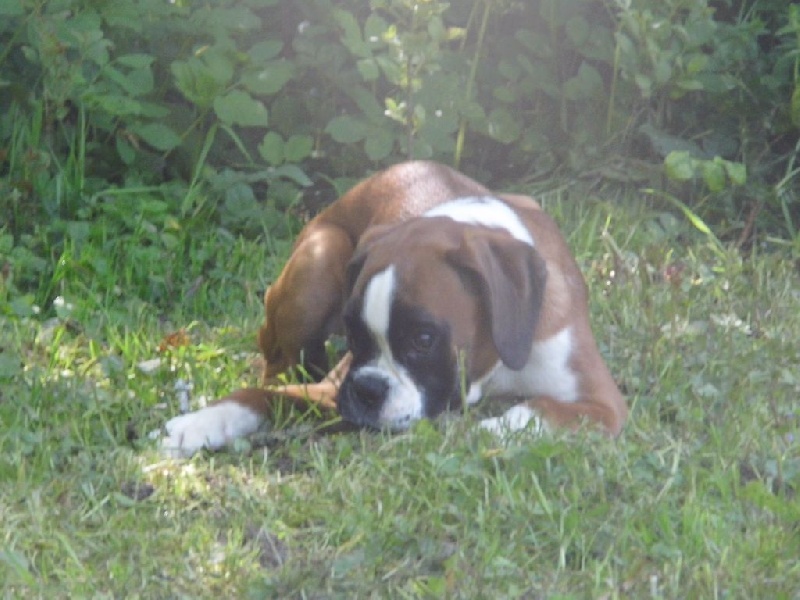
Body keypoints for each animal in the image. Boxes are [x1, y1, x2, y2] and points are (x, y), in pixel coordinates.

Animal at [159, 162, 628, 458]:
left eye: (423, 339)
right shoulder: (330, 390)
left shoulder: (603, 406)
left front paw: (486, 430)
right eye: (353, 334)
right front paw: (201, 423)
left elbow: (534, 410)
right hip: (322, 254)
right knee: (275, 368)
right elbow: (265, 397)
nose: (367, 390)